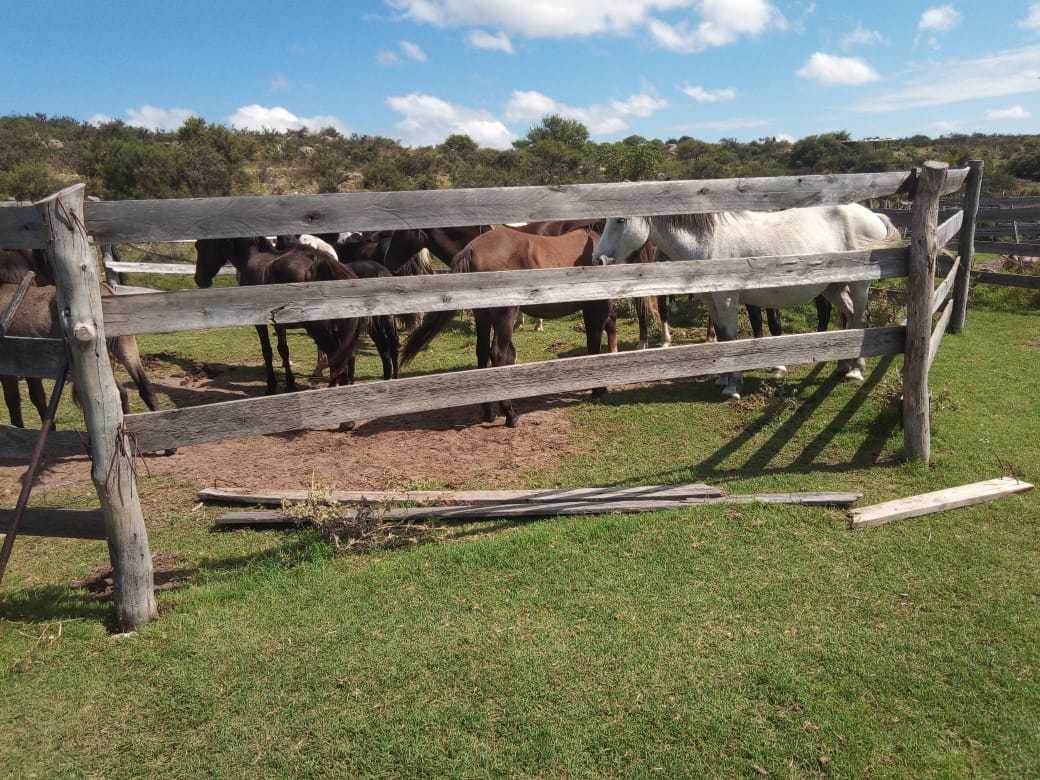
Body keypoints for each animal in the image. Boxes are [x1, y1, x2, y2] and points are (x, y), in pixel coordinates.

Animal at [193, 238, 371, 391]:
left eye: (200, 246)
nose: (199, 280)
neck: (251, 257)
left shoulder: (260, 323)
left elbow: (267, 351)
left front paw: (271, 385)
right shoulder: (280, 324)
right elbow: (283, 350)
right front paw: (290, 384)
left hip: (321, 330)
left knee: (336, 357)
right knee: (348, 356)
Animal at [401, 228, 616, 428]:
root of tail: (472, 248)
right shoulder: (596, 308)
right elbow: (594, 345)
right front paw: (598, 389)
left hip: (484, 317)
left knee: (482, 354)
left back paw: (489, 412)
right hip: (505, 316)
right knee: (498, 355)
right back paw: (510, 414)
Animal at [591, 205, 902, 399]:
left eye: (620, 221)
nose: (599, 259)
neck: (709, 244)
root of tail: (872, 214)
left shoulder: (727, 299)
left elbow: (730, 337)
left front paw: (733, 386)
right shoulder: (713, 302)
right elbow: (722, 337)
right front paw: (723, 378)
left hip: (859, 285)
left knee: (860, 317)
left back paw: (856, 370)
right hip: (834, 287)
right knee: (849, 316)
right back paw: (842, 364)